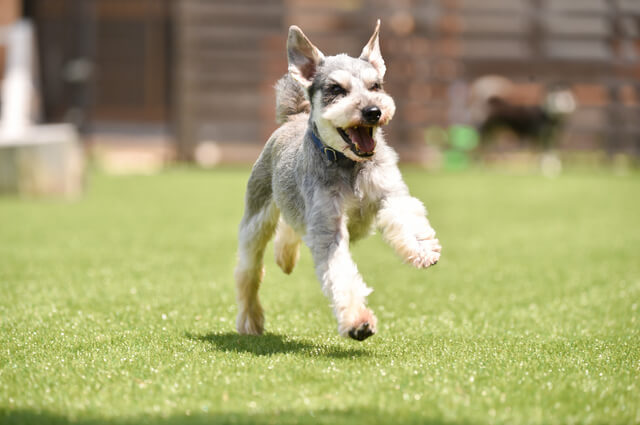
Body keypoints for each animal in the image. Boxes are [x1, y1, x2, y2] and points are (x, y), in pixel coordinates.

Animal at [235, 21, 440, 342]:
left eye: (375, 86)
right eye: (336, 89)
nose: (373, 111)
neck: (350, 164)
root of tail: (293, 118)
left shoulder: (390, 194)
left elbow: (406, 219)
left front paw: (421, 249)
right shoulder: (327, 227)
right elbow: (340, 274)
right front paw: (358, 321)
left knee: (290, 229)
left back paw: (285, 256)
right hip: (256, 221)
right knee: (249, 273)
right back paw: (249, 319)